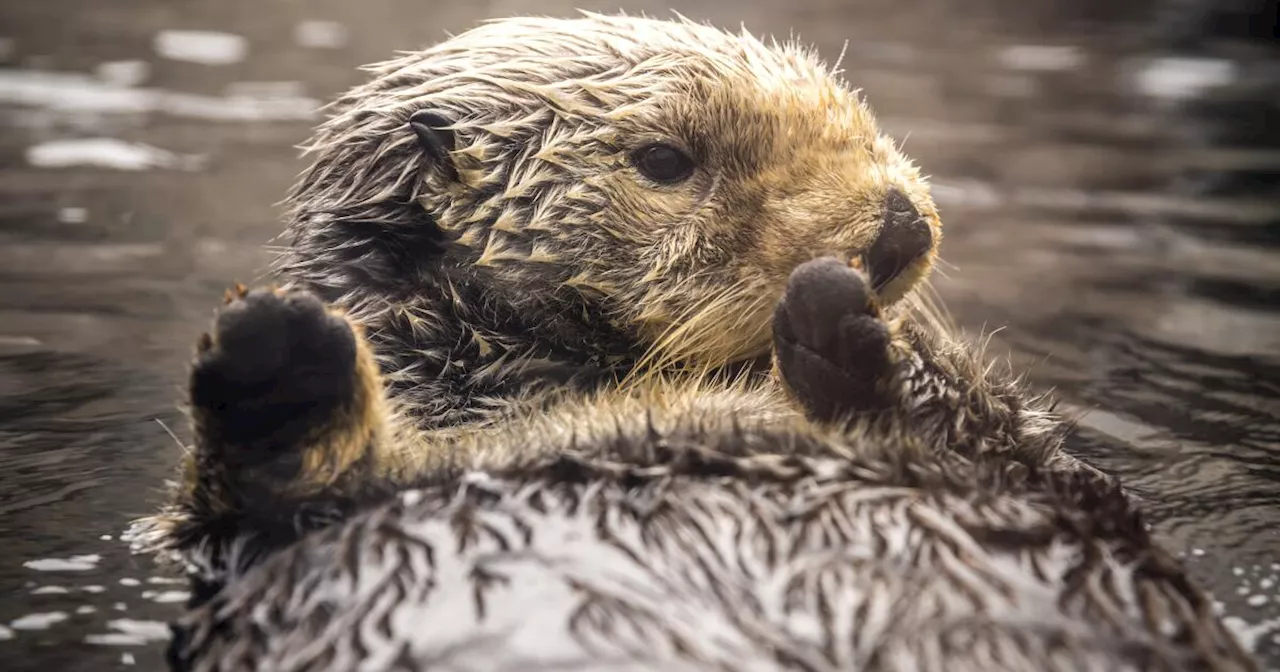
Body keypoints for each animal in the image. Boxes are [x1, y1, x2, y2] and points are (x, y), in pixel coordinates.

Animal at [127, 11, 1259, 670]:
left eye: (849, 111)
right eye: (666, 160)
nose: (898, 227)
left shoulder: (1045, 471)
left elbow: (1041, 454)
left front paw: (858, 330)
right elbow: (210, 522)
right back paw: (278, 365)